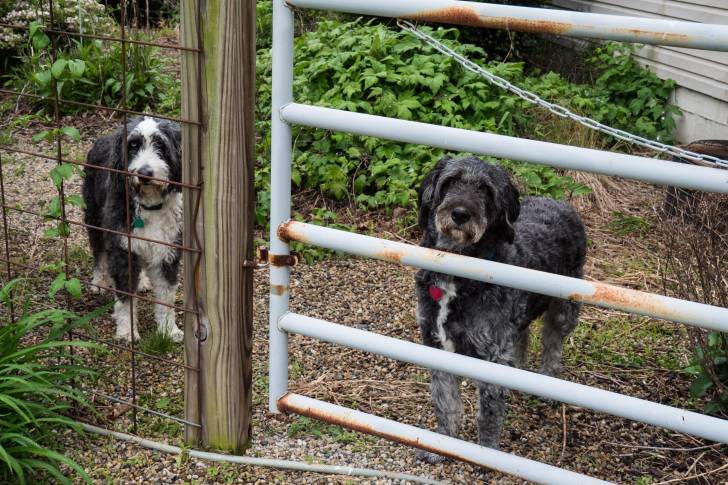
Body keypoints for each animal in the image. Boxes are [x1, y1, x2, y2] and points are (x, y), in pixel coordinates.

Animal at [82, 116, 183, 344]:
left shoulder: (167, 252)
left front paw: (168, 330)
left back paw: (143, 280)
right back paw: (99, 281)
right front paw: (128, 331)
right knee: (99, 252)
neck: (149, 205)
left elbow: (166, 296)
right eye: (133, 145)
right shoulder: (122, 250)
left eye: (160, 145)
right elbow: (126, 298)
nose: (144, 173)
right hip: (94, 216)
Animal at [416, 157, 584, 460]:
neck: (457, 271)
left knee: (553, 343)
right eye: (450, 181)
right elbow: (445, 402)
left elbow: (489, 414)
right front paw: (441, 445)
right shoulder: (435, 344)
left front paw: (487, 454)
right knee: (523, 335)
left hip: (564, 311)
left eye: (486, 190)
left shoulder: (491, 354)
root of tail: (560, 202)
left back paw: (549, 381)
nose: (460, 214)